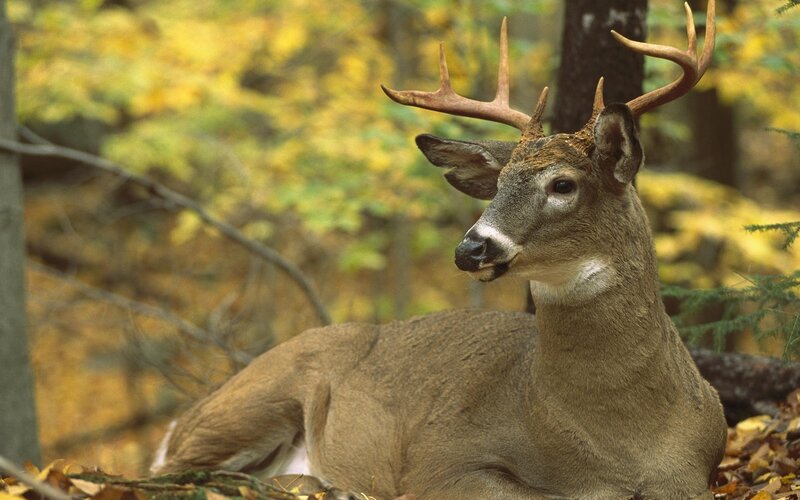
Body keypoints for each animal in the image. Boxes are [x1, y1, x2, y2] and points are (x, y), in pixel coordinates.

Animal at [150, 1, 726, 498]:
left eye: (563, 184)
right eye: (498, 185)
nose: (471, 248)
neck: (623, 444)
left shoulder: (697, 473)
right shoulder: (442, 458)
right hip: (255, 398)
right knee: (170, 473)